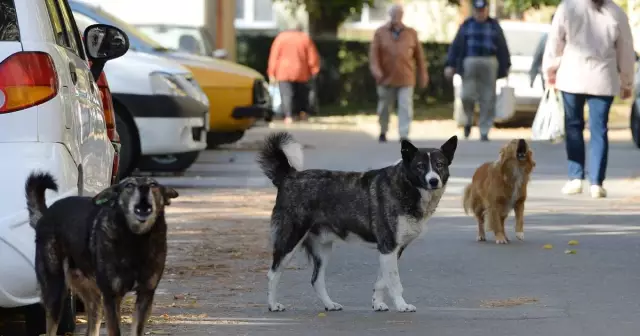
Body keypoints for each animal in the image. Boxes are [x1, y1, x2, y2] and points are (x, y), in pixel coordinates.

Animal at [25, 173, 178, 336]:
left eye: (153, 184)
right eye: (129, 185)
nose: (144, 188)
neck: (135, 240)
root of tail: (45, 215)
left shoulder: (145, 295)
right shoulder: (112, 297)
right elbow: (115, 331)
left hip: (94, 300)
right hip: (56, 291)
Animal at [255, 131, 456, 312]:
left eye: (439, 165)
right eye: (420, 166)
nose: (433, 180)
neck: (407, 185)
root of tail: (289, 176)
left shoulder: (390, 251)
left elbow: (382, 281)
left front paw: (377, 303)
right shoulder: (389, 247)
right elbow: (394, 282)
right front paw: (401, 305)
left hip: (323, 249)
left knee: (316, 280)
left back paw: (329, 305)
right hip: (289, 241)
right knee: (273, 274)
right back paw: (273, 305)